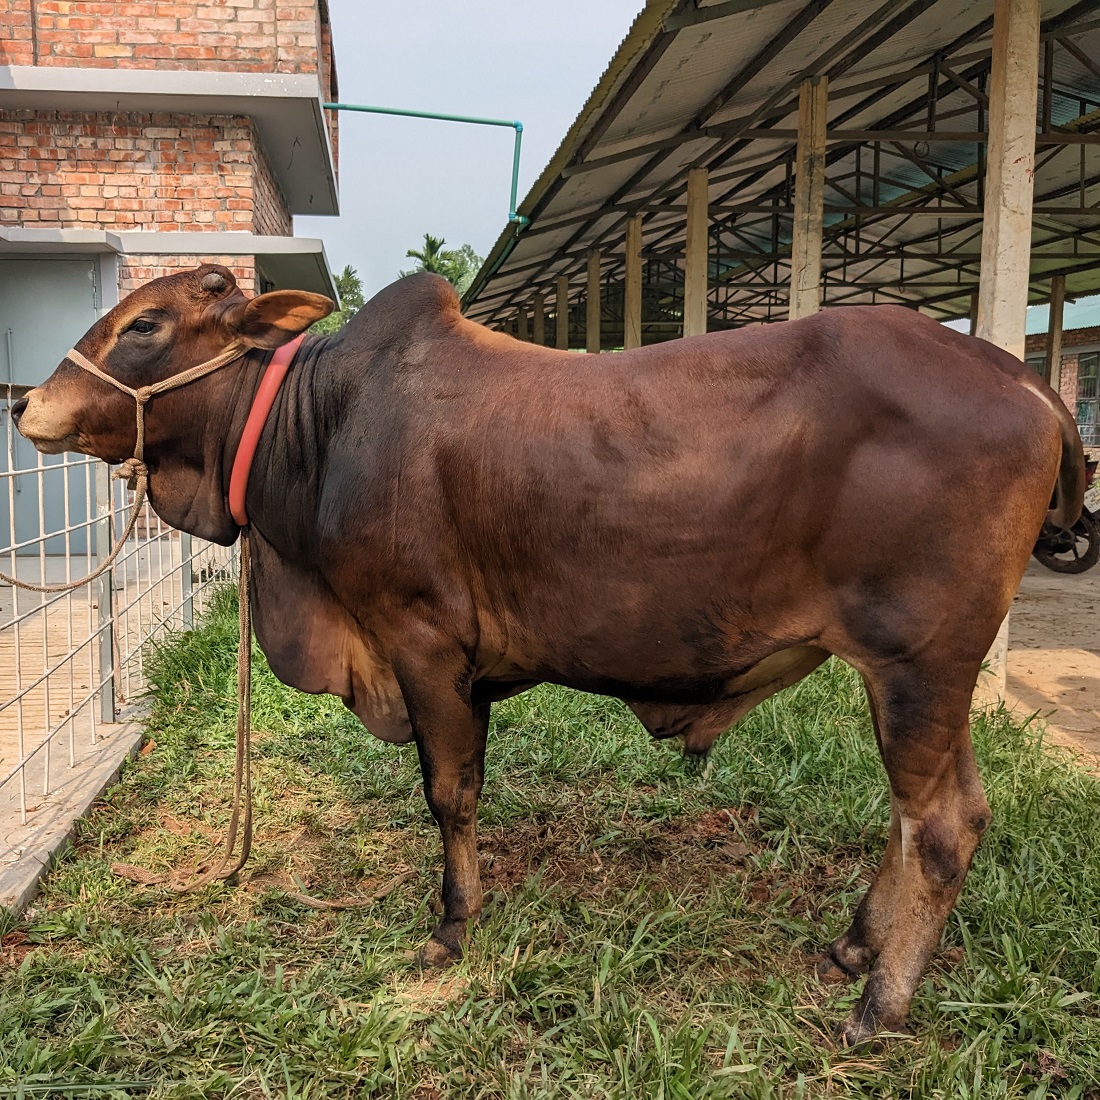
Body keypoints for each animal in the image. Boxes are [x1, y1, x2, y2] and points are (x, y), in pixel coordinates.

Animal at [12, 261, 1086, 1042]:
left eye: (146, 325)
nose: (26, 406)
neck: (317, 430)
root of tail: (1031, 383)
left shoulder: (423, 643)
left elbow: (450, 794)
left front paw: (452, 926)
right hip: (926, 679)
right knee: (942, 817)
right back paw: (856, 950)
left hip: (916, 666)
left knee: (937, 829)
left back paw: (879, 1006)